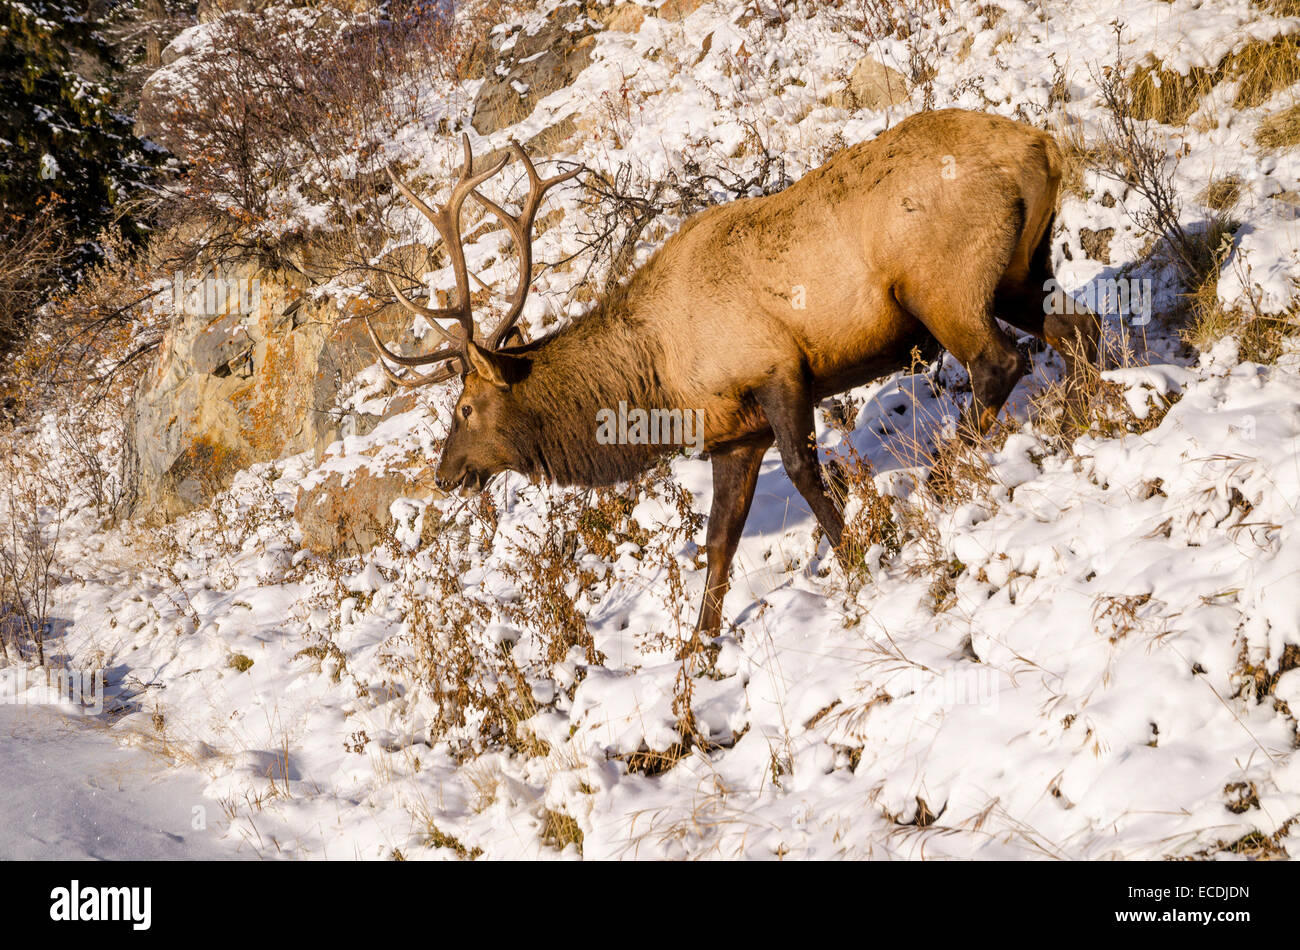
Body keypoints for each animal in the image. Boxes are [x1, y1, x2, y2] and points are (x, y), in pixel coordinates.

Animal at [366, 111, 1097, 641]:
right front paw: (701, 644)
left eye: (464, 408)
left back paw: (945, 478)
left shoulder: (778, 368)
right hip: (1019, 269)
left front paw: (857, 558)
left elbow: (805, 476)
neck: (660, 385)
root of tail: (1043, 147)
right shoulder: (734, 434)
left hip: (944, 283)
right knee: (1076, 327)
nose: (444, 476)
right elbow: (720, 539)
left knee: (1000, 363)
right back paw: (1095, 408)